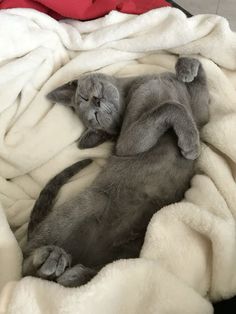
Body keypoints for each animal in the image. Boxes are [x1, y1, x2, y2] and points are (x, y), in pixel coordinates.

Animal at [22, 58, 209, 288]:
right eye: (94, 117)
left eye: (84, 97)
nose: (95, 103)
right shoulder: (127, 144)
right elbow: (171, 107)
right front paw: (190, 145)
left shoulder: (200, 115)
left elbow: (198, 89)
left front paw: (186, 69)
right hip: (93, 201)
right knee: (26, 266)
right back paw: (49, 259)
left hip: (137, 244)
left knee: (107, 271)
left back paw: (73, 273)